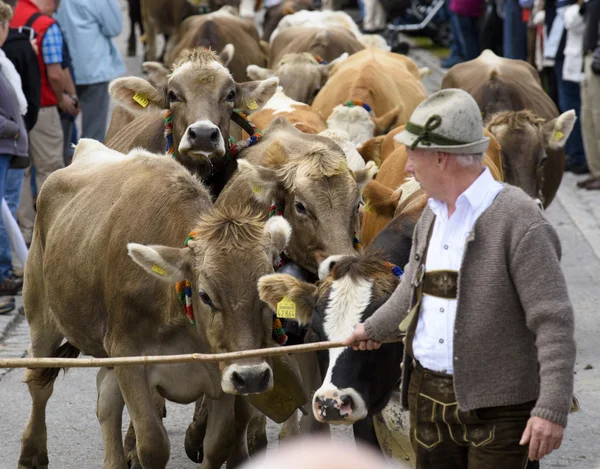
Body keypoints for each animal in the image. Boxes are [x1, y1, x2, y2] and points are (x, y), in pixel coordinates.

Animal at [21, 139, 296, 468]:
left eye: (269, 293)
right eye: (205, 295)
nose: (253, 376)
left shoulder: (223, 371)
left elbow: (218, 444)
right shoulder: (130, 360)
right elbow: (152, 445)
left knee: (106, 399)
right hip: (40, 313)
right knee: (39, 385)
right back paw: (32, 453)